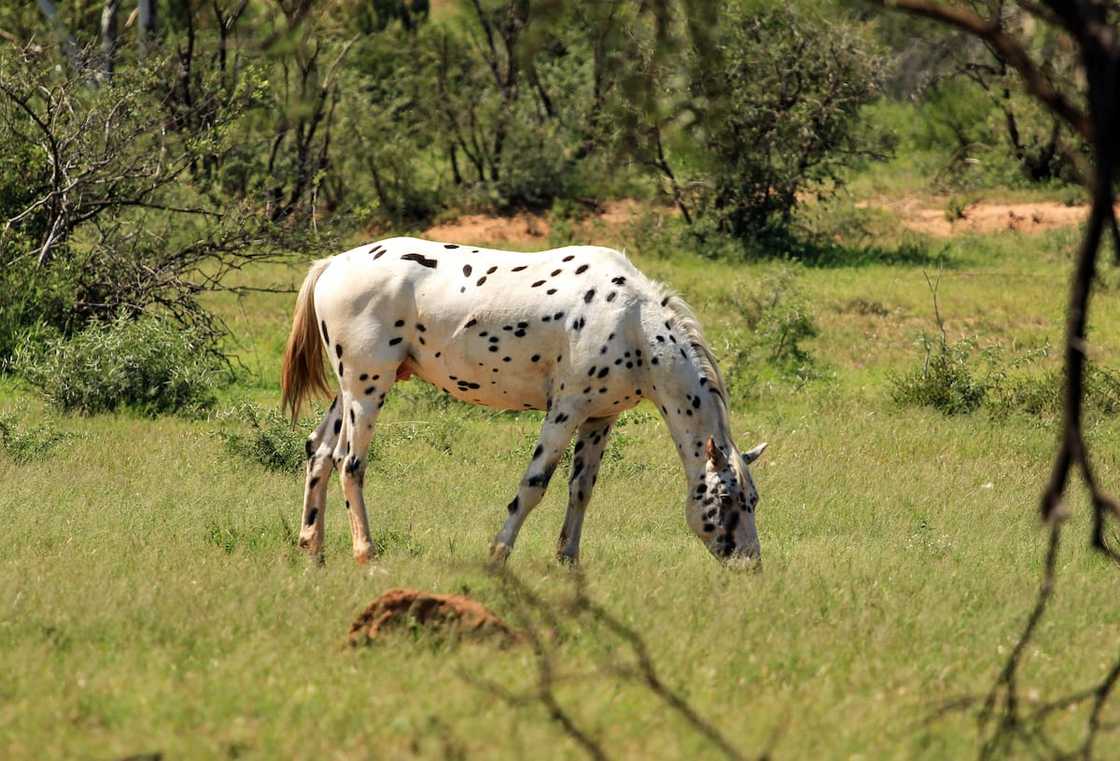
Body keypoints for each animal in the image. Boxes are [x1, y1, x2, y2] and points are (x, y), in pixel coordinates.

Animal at [284, 237, 766, 564]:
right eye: (725, 497)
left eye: (753, 499)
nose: (750, 563)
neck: (632, 321)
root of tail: (332, 264)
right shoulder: (565, 411)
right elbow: (533, 487)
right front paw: (499, 554)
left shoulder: (600, 419)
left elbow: (581, 490)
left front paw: (568, 562)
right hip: (368, 388)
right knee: (349, 463)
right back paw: (366, 554)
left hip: (349, 389)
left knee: (319, 451)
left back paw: (313, 550)